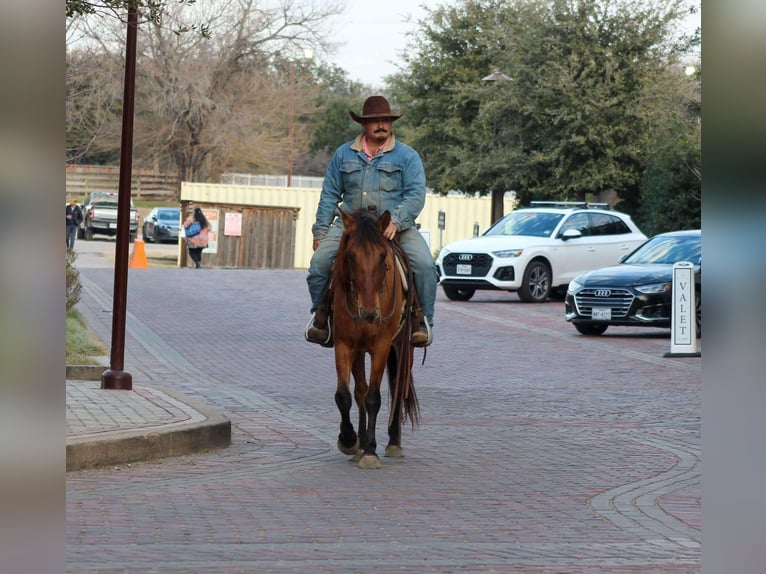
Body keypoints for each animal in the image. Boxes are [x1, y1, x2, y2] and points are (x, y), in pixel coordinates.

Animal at [332, 209, 424, 470]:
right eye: (351, 256)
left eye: (383, 256)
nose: (370, 312)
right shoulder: (345, 345)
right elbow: (345, 396)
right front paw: (350, 440)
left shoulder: (382, 346)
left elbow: (374, 397)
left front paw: (371, 452)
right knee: (360, 391)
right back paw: (361, 444)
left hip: (403, 348)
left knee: (397, 388)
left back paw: (393, 443)